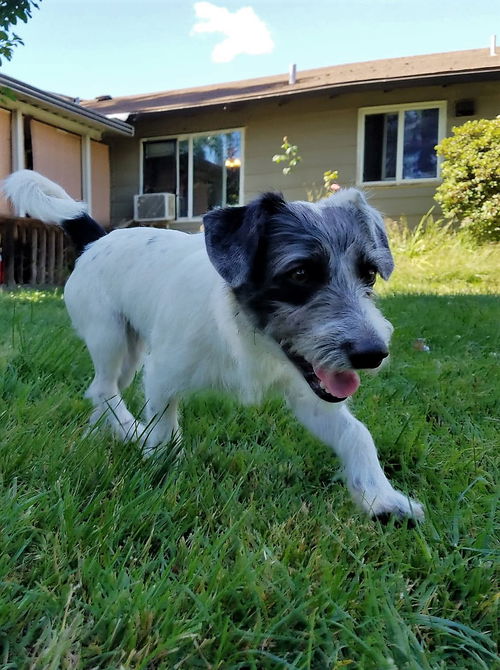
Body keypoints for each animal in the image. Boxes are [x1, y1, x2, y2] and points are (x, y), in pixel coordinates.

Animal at [3, 169, 424, 524]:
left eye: (369, 273)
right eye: (300, 273)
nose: (372, 354)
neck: (240, 330)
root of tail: (97, 238)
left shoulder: (309, 392)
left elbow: (357, 434)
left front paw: (383, 498)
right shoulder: (161, 375)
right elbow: (164, 430)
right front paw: (159, 462)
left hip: (130, 353)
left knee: (100, 392)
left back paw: (101, 433)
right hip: (109, 336)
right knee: (104, 389)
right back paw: (131, 432)